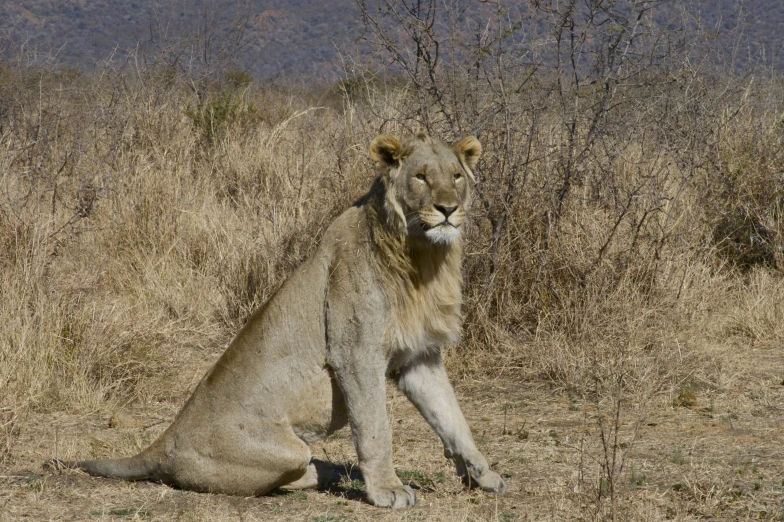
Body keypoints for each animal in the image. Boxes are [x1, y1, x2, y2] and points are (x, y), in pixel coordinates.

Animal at [53, 132, 508, 506]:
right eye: (421, 178)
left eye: (456, 176)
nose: (448, 209)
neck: (422, 257)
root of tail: (160, 444)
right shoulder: (356, 354)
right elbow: (375, 430)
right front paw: (388, 491)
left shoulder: (418, 357)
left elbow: (453, 419)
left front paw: (484, 475)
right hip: (288, 449)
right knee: (297, 467)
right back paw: (325, 472)